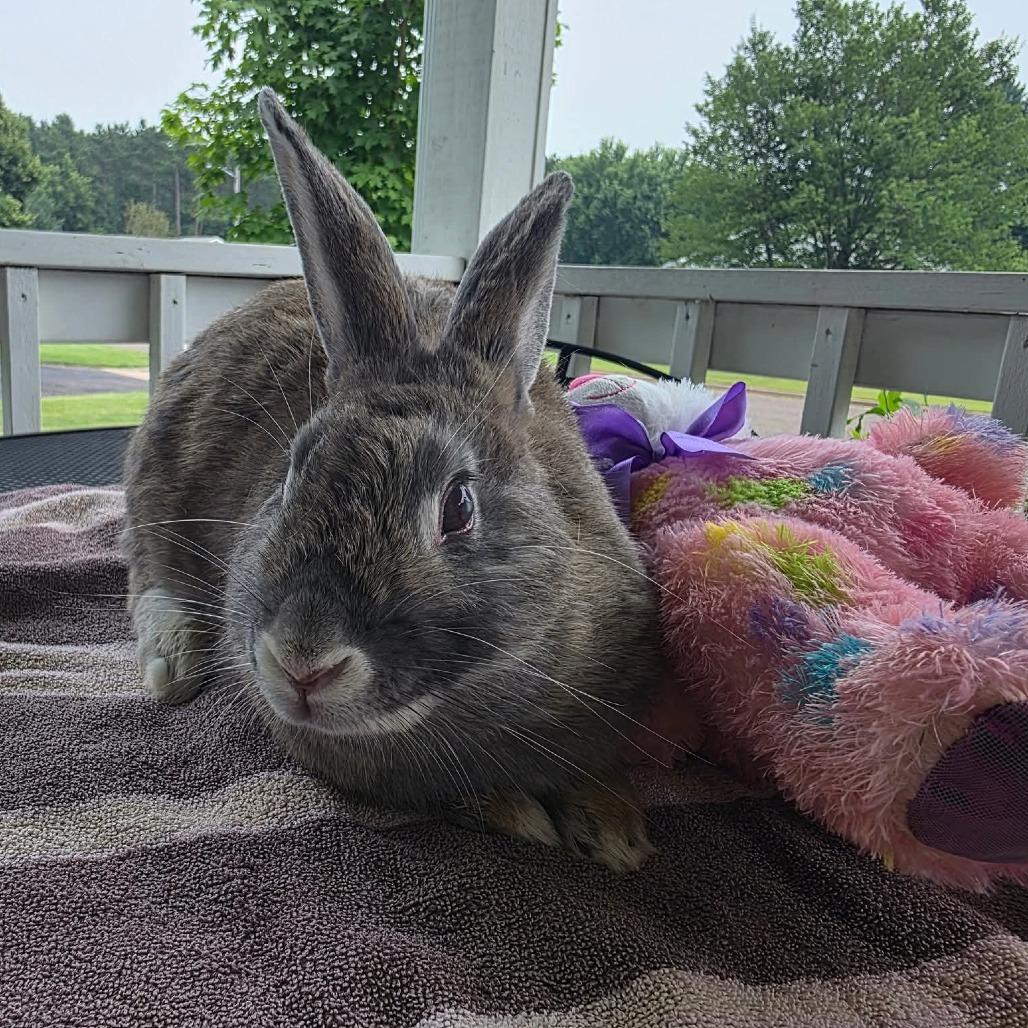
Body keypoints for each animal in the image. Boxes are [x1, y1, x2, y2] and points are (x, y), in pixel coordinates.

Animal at [121, 88, 664, 872]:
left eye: (459, 505)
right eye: (294, 472)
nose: (301, 662)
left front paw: (615, 829)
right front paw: (520, 812)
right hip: (156, 492)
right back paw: (171, 662)